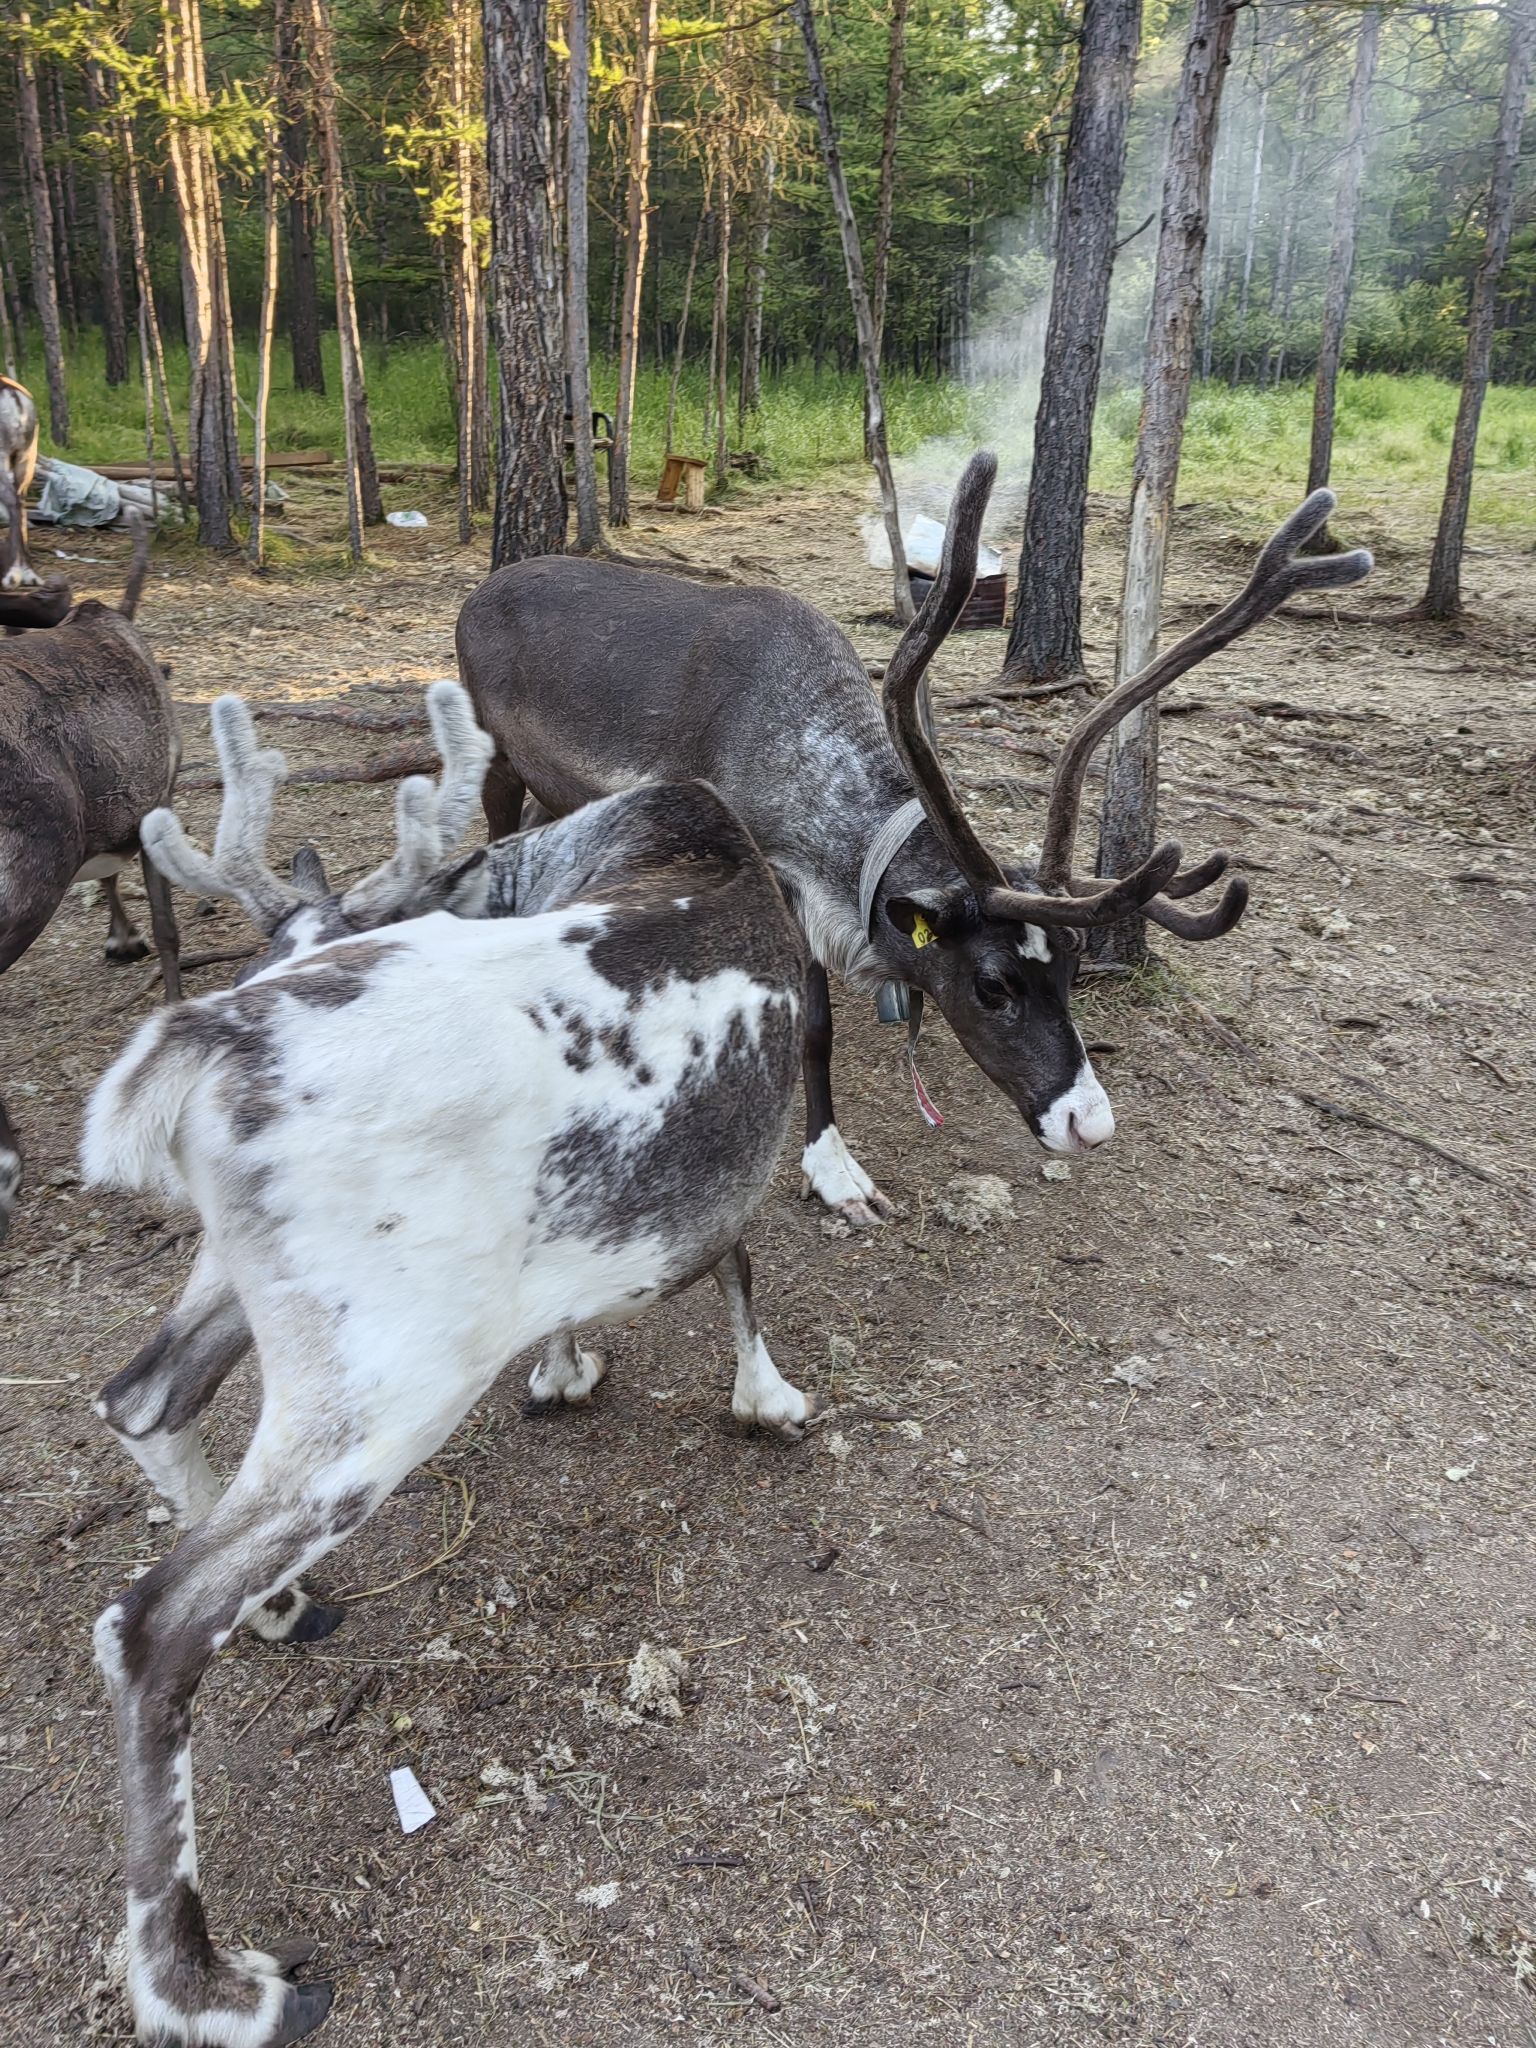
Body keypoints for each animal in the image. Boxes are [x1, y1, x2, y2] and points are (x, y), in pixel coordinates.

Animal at [83, 680, 813, 2048]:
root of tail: (202, 1041)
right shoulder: (731, 1174)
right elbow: (740, 1264)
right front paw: (765, 1396)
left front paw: (569, 1367)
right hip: (390, 1382)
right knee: (155, 1617)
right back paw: (211, 1983)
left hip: (261, 1287)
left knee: (143, 1394)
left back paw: (280, 1607)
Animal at [456, 461, 1371, 1223]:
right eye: (993, 984)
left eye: (1073, 969)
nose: (1088, 1123)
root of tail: (478, 591)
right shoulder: (758, 877)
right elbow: (804, 1023)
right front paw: (834, 1171)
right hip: (495, 753)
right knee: (493, 845)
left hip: (557, 789)